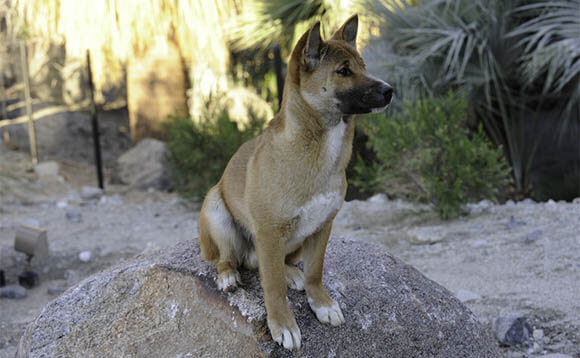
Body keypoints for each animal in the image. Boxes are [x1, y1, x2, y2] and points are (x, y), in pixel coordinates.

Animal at [199, 14, 394, 350]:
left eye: (363, 65)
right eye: (343, 71)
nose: (390, 90)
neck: (319, 151)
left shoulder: (322, 227)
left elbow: (315, 272)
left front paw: (321, 304)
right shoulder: (269, 232)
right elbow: (273, 287)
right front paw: (282, 324)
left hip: (294, 244)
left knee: (266, 264)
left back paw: (292, 273)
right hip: (215, 209)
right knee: (228, 259)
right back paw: (228, 275)